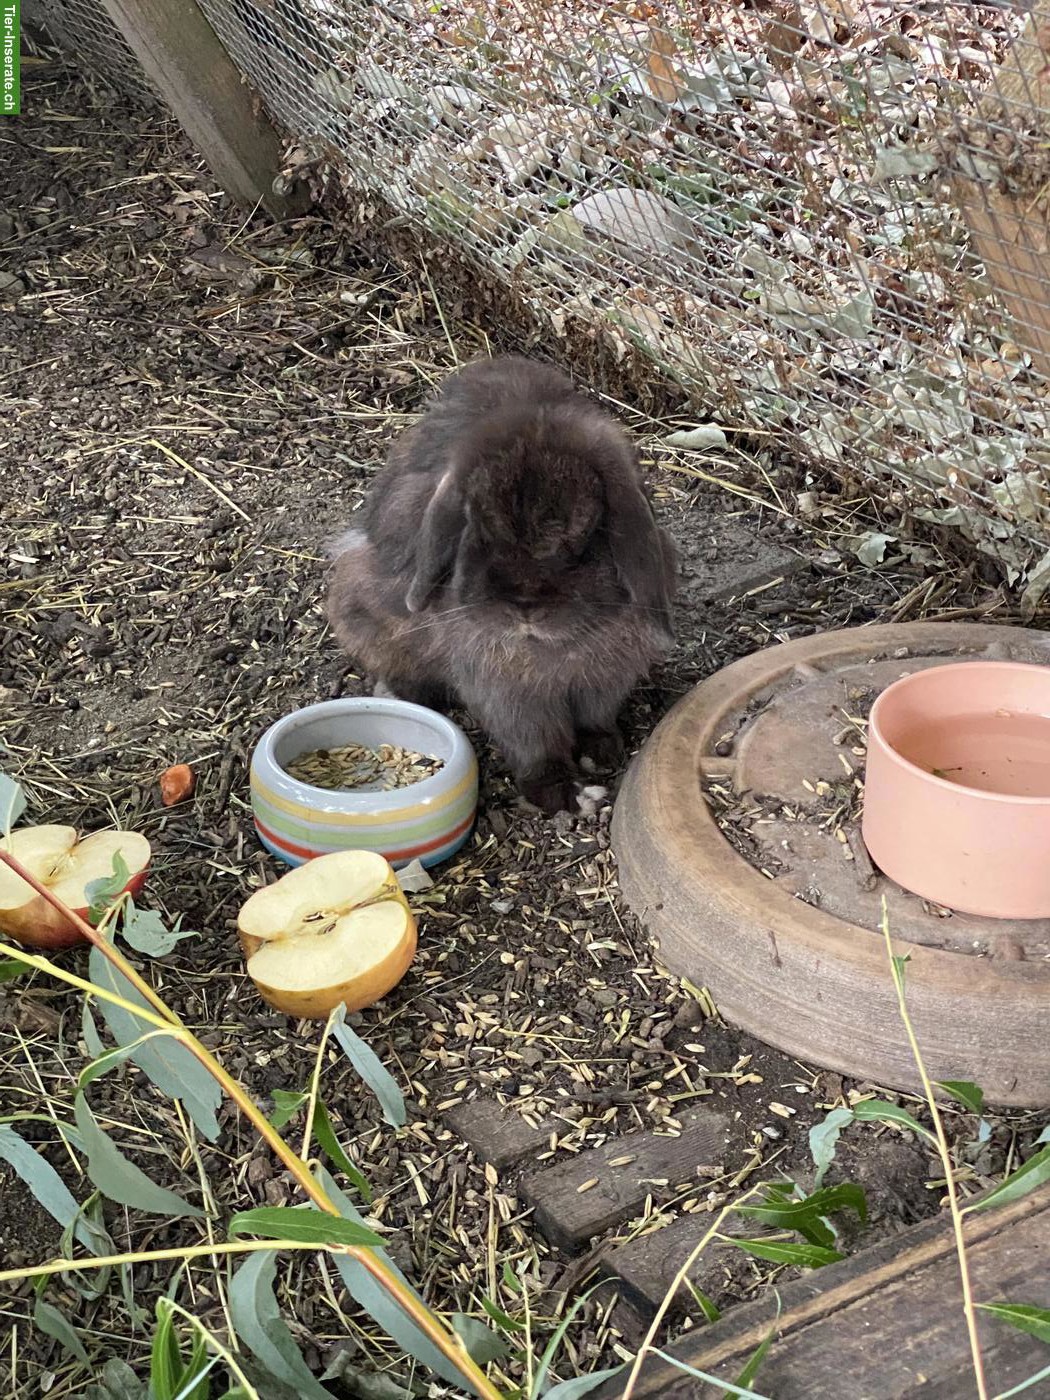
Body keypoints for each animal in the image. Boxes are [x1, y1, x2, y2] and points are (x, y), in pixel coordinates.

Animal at [327, 355, 677, 814]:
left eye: (586, 538)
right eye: (475, 528)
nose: (525, 605)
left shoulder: (605, 679)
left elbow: (595, 718)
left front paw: (600, 752)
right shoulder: (506, 694)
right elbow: (535, 746)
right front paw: (568, 794)